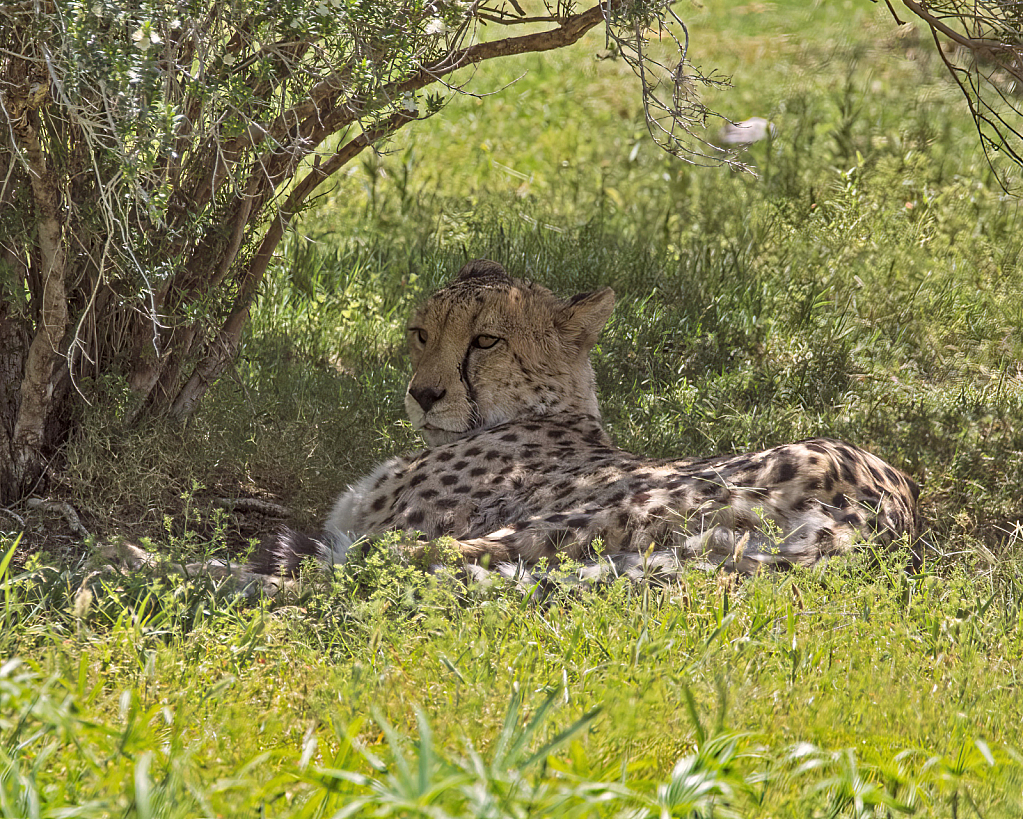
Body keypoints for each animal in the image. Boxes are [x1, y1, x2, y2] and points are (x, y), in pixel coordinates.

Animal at [253, 258, 920, 576]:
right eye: (421, 333)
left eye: (486, 341)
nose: (424, 394)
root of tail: (888, 515)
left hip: (578, 519)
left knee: (394, 563)